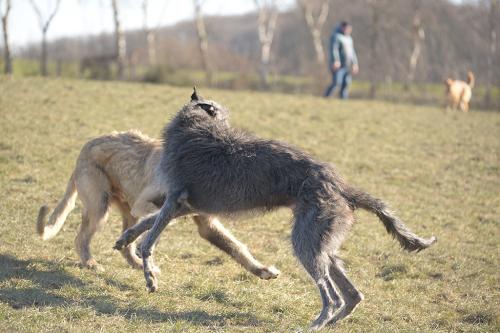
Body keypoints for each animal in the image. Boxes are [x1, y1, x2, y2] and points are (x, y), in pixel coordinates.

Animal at [38, 130, 282, 278]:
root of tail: (84, 150)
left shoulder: (206, 223)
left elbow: (234, 246)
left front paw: (260, 269)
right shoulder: (144, 203)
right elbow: (157, 222)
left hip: (126, 210)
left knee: (125, 245)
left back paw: (138, 264)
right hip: (100, 206)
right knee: (81, 238)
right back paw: (91, 263)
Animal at [115, 88, 436, 330]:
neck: (198, 127)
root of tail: (338, 183)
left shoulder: (175, 199)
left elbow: (149, 241)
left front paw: (150, 276)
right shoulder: (187, 206)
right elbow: (147, 223)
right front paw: (126, 238)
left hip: (306, 240)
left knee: (331, 296)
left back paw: (317, 323)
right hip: (323, 240)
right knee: (352, 293)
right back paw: (334, 320)